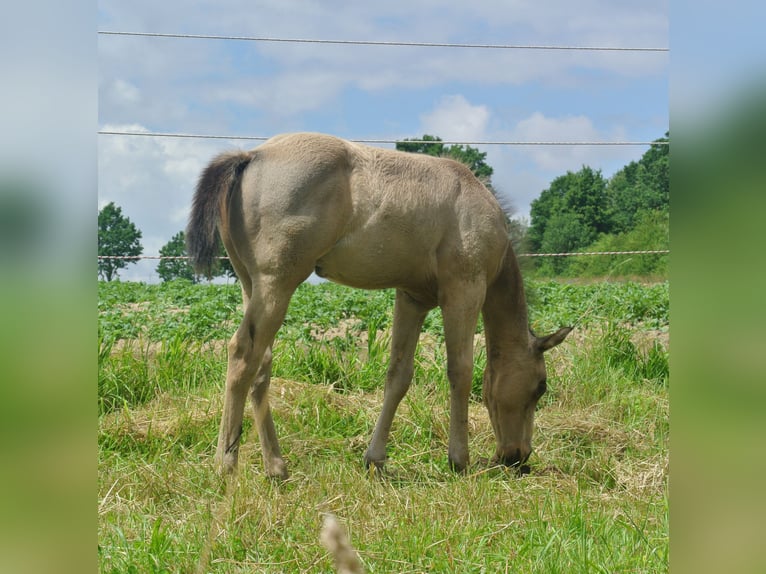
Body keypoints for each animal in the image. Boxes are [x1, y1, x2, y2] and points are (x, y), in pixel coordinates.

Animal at [186, 132, 571, 479]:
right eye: (540, 387)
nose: (517, 458)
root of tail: (252, 155)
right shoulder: (464, 291)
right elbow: (460, 371)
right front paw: (458, 459)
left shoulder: (412, 298)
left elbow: (398, 375)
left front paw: (375, 458)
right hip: (276, 284)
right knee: (242, 354)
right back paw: (226, 463)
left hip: (251, 285)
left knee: (261, 363)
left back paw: (276, 466)